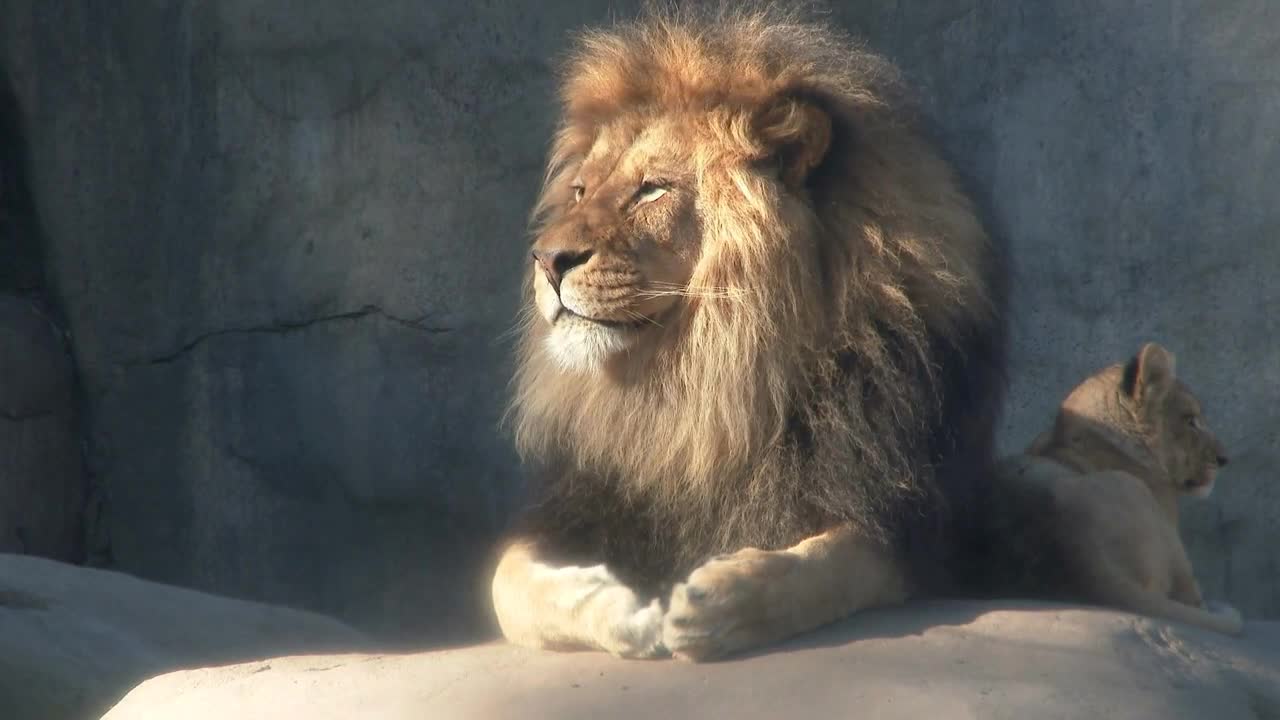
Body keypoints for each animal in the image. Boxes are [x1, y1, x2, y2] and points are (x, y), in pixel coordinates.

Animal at [488, 2, 1008, 661]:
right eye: (580, 191)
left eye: (651, 189)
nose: (547, 260)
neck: (704, 387)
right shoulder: (580, 502)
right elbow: (507, 584)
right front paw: (621, 609)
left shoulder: (909, 523)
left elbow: (827, 565)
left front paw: (719, 602)